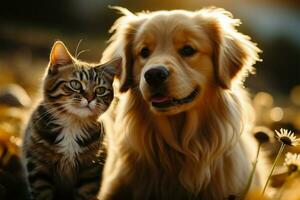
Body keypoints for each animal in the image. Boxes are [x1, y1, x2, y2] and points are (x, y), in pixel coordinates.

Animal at [22, 41, 119, 200]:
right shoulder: (38, 167)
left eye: (100, 90)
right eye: (75, 84)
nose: (90, 98)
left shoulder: (91, 172)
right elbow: (43, 193)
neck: (72, 125)